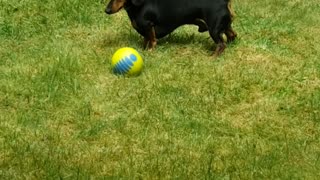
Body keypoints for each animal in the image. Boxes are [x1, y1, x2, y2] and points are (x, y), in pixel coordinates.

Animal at [105, 0, 235, 56]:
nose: (106, 10)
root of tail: (224, 2)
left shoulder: (148, 26)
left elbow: (152, 40)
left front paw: (150, 52)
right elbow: (146, 40)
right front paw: (143, 50)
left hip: (214, 29)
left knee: (221, 45)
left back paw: (212, 57)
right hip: (224, 26)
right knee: (232, 35)